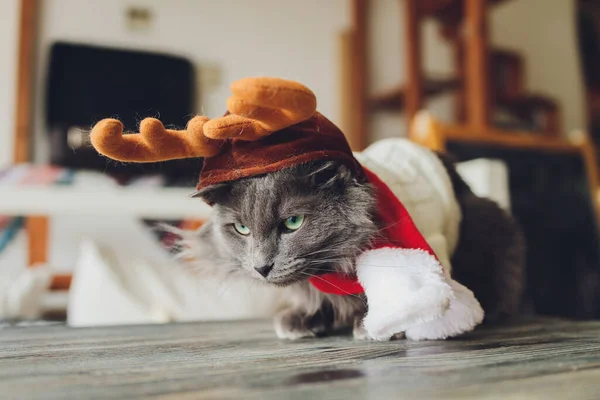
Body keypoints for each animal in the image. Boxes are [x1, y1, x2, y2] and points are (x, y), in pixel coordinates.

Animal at [184, 155, 524, 340]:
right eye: (241, 228)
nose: (261, 267)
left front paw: (375, 324)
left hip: (489, 222)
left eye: (293, 222)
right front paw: (302, 318)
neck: (330, 267)